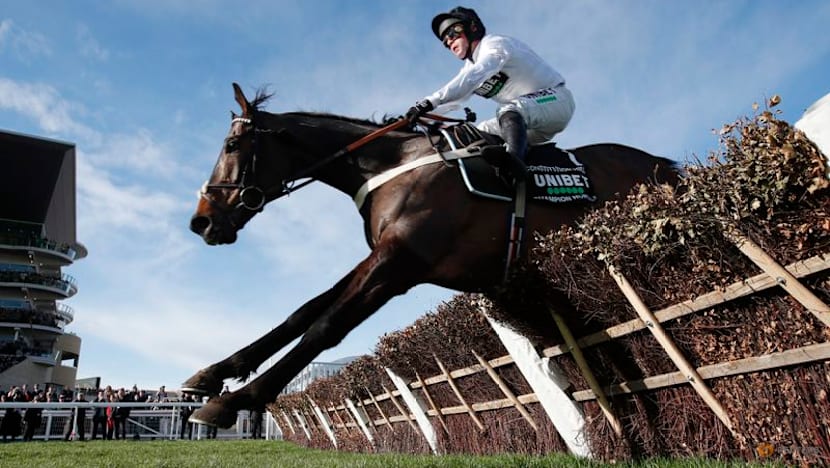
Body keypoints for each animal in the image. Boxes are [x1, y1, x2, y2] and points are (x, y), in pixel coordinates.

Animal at [185, 83, 680, 427]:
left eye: (232, 146)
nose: (202, 221)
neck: (392, 165)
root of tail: (667, 164)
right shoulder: (386, 254)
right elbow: (303, 311)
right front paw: (213, 374)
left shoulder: (401, 263)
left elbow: (326, 325)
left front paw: (233, 400)